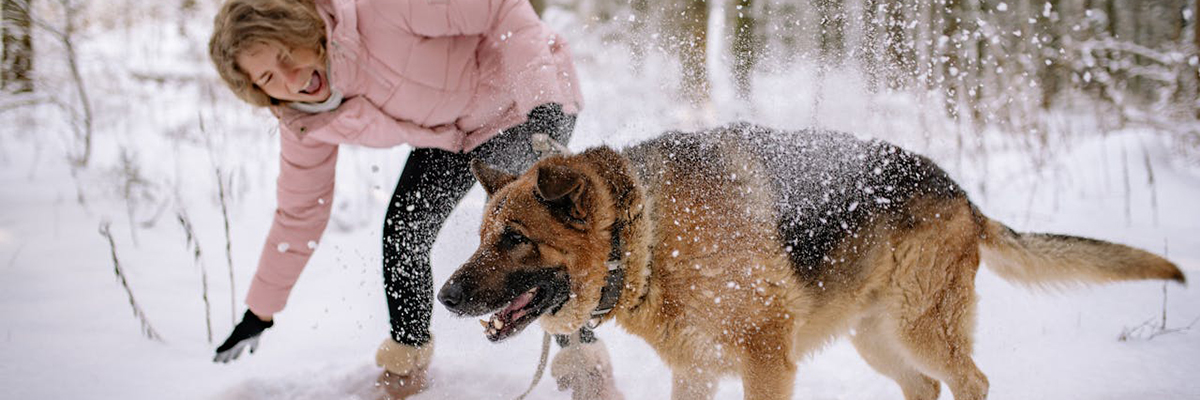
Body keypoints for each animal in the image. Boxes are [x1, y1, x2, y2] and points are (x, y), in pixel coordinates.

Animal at [436, 123, 1185, 396]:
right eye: (481, 235)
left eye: (513, 239)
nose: (444, 297)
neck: (647, 233)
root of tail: (962, 195)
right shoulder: (697, 371)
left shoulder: (766, 360)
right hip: (877, 342)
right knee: (925, 387)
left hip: (920, 328)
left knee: (971, 381)